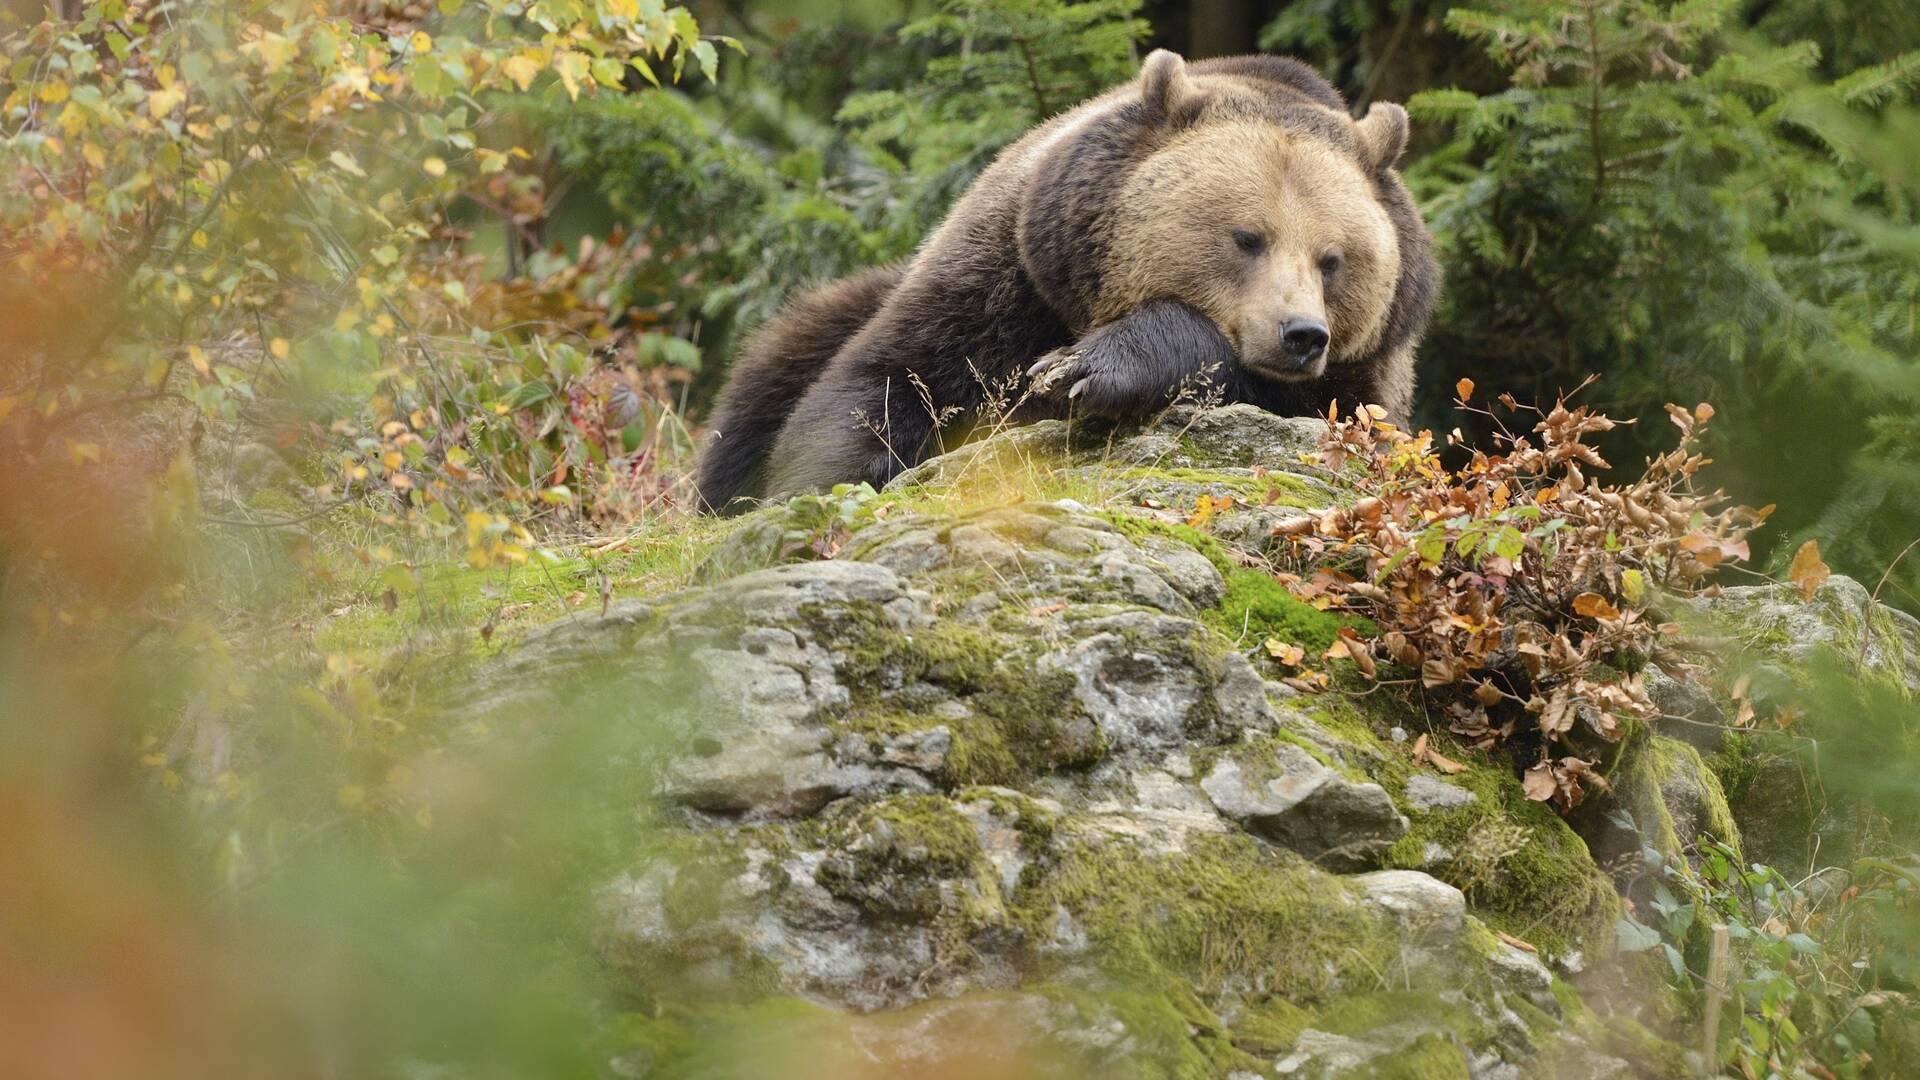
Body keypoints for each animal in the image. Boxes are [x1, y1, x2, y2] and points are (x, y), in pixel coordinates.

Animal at [698, 52, 1436, 515]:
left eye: (1333, 258)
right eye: (1247, 237)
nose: (1300, 335)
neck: (1085, 301)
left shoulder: (1365, 373)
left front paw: (1084, 369)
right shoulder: (1008, 275)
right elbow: (886, 381)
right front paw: (805, 491)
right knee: (778, 364)